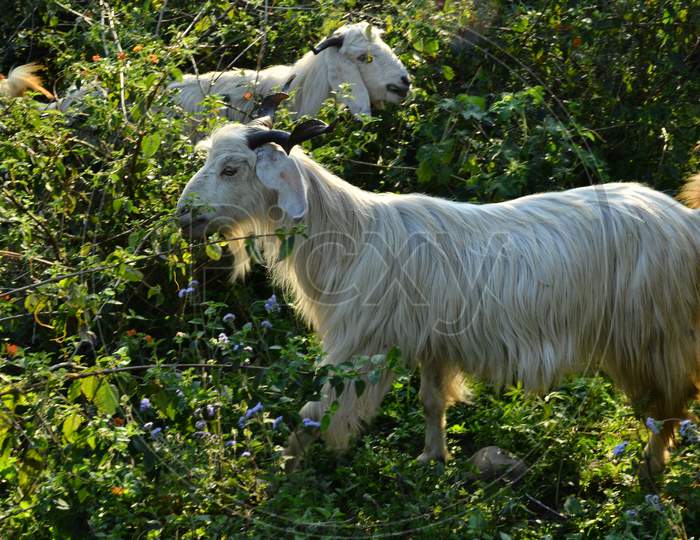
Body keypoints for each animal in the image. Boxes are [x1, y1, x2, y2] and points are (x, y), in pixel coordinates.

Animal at [176, 110, 700, 476]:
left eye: (231, 169)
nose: (184, 215)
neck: (352, 236)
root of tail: (686, 222)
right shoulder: (432, 343)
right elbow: (431, 402)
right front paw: (432, 458)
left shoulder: (363, 347)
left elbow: (314, 413)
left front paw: (285, 473)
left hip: (653, 335)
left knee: (672, 404)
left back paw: (651, 470)